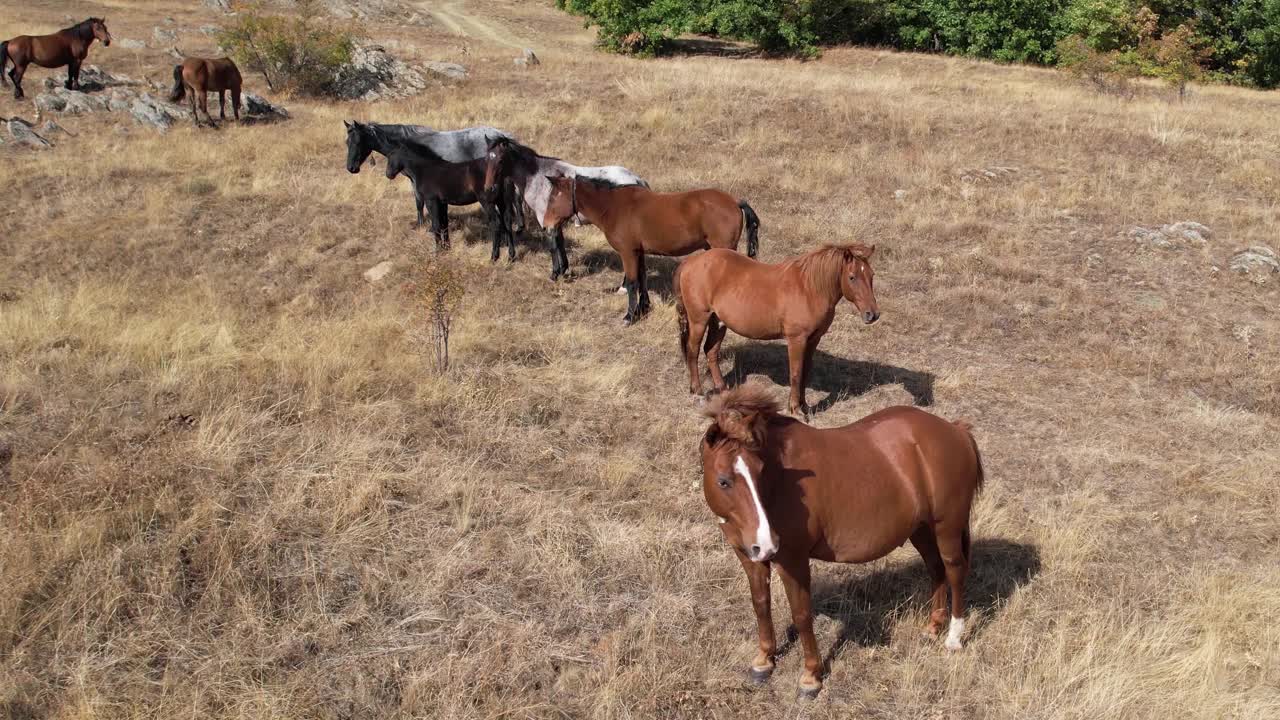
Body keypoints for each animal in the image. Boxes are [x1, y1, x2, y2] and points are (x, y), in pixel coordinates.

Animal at [483, 135, 655, 281]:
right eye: (486, 159)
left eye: (500, 160)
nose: (489, 188)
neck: (537, 177)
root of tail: (639, 181)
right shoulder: (555, 221)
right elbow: (560, 243)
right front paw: (563, 270)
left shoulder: (546, 221)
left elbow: (553, 246)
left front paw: (554, 274)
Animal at [542, 174, 757, 322]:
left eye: (553, 198)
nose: (545, 226)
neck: (613, 207)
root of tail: (734, 201)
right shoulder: (639, 252)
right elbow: (642, 279)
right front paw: (643, 309)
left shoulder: (627, 252)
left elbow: (631, 282)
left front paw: (629, 316)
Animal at [675, 243, 875, 417]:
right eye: (852, 277)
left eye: (871, 275)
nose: (872, 314)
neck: (809, 289)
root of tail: (691, 261)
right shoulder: (796, 339)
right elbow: (796, 373)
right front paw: (795, 409)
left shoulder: (813, 339)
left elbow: (805, 372)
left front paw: (805, 406)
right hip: (699, 320)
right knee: (693, 351)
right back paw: (697, 392)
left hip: (719, 322)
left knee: (711, 351)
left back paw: (724, 391)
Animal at [701, 386, 977, 696]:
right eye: (723, 481)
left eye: (761, 474)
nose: (768, 543)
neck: (782, 481)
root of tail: (956, 431)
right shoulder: (749, 556)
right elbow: (760, 603)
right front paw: (763, 660)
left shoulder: (793, 560)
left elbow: (802, 614)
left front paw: (811, 676)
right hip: (921, 529)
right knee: (935, 569)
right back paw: (932, 628)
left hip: (947, 529)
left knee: (954, 571)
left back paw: (953, 638)